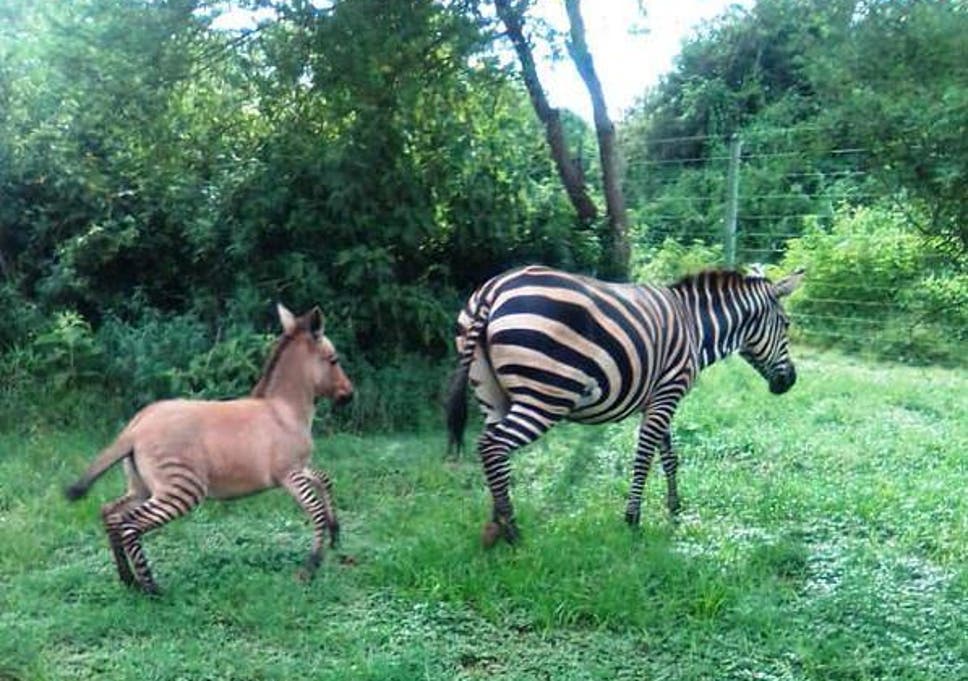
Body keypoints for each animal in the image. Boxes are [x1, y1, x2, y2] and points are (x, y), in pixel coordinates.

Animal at [64, 306, 354, 592]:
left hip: (142, 487)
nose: (350, 395)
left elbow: (325, 480)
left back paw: (128, 580)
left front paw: (335, 533)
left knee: (111, 514)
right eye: (334, 360)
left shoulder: (300, 468)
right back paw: (152, 589)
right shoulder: (289, 473)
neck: (284, 410)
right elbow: (315, 511)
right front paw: (311, 566)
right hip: (181, 489)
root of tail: (135, 428)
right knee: (130, 524)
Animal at [446, 262, 800, 544]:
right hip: (546, 396)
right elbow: (644, 457)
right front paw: (632, 520)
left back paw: (495, 524)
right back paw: (512, 531)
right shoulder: (668, 393)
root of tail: (493, 289)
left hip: (491, 395)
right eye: (786, 325)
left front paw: (674, 509)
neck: (695, 327)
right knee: (492, 446)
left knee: (494, 454)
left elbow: (669, 456)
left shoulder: (658, 397)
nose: (790, 381)